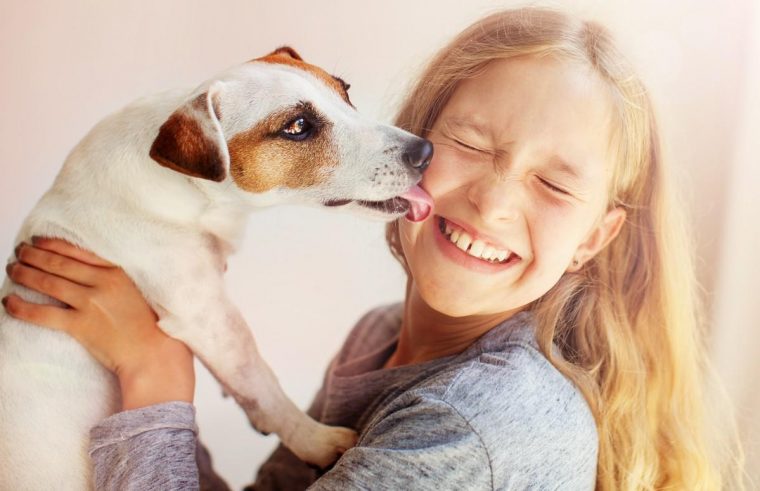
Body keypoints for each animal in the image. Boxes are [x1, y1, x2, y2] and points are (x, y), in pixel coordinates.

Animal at [0, 45, 434, 488]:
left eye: (345, 91)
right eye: (297, 127)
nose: (424, 152)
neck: (186, 189)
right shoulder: (207, 317)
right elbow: (260, 382)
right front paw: (313, 439)